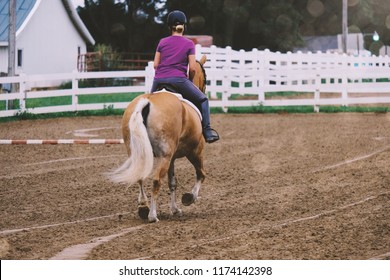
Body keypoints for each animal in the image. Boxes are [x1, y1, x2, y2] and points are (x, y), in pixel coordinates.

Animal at [108, 54, 209, 222]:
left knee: (140, 177)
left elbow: (172, 182)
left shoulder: (172, 158)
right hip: (166, 156)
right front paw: (189, 198)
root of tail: (147, 101)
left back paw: (143, 208)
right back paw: (152, 215)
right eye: (206, 78)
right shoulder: (195, 150)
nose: (204, 90)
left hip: (142, 154)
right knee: (156, 181)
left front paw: (175, 209)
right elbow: (201, 174)